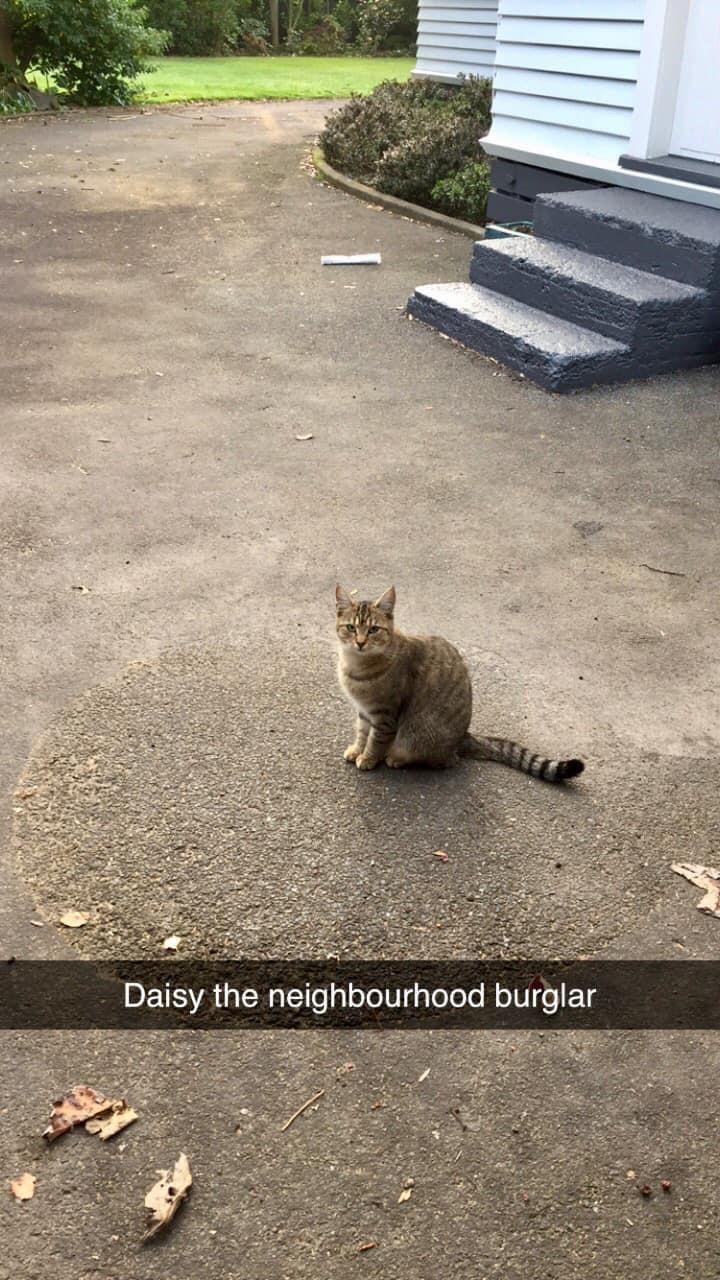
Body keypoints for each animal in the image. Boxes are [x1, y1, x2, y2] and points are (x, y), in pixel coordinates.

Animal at [335, 584, 584, 784]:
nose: (360, 642)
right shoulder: (364, 711)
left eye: (373, 629)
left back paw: (397, 758)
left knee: (443, 761)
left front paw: (368, 758)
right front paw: (356, 750)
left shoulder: (385, 715)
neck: (356, 665)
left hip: (420, 736)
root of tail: (463, 736)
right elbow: (362, 732)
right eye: (351, 628)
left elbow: (375, 740)